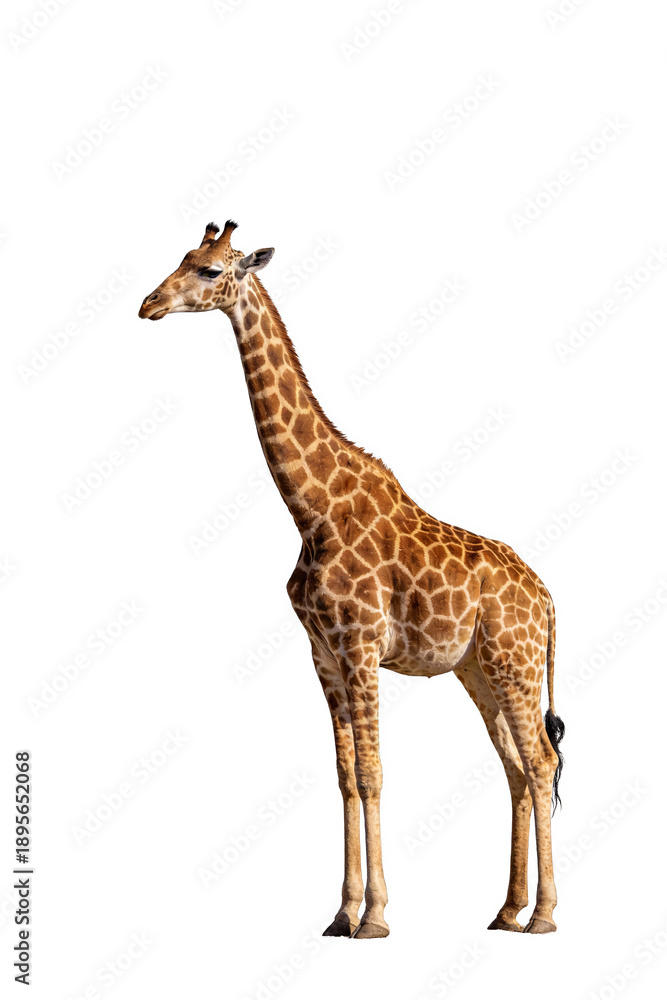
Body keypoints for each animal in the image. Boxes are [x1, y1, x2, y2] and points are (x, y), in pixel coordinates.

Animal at [139, 220, 565, 938]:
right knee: (514, 765)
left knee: (540, 761)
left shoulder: (362, 645)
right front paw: (341, 912)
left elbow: (372, 771)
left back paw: (544, 916)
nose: (148, 305)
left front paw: (376, 916)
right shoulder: (323, 654)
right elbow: (343, 775)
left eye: (209, 270)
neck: (311, 507)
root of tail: (549, 600)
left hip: (516, 661)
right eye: (182, 258)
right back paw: (506, 910)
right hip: (477, 668)